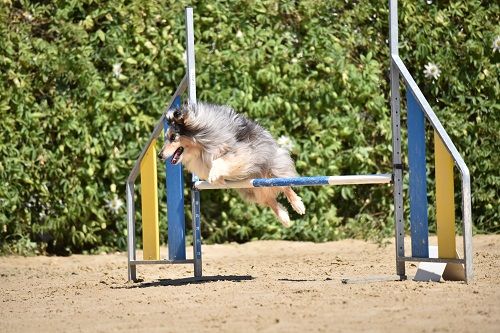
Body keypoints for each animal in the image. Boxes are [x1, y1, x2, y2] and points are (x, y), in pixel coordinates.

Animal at [158, 101, 306, 226]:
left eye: (173, 137)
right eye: (166, 137)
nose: (159, 155)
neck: (200, 147)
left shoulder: (237, 151)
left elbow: (220, 161)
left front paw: (214, 175)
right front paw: (218, 180)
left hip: (271, 169)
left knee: (286, 185)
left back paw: (298, 206)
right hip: (252, 189)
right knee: (270, 200)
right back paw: (284, 218)